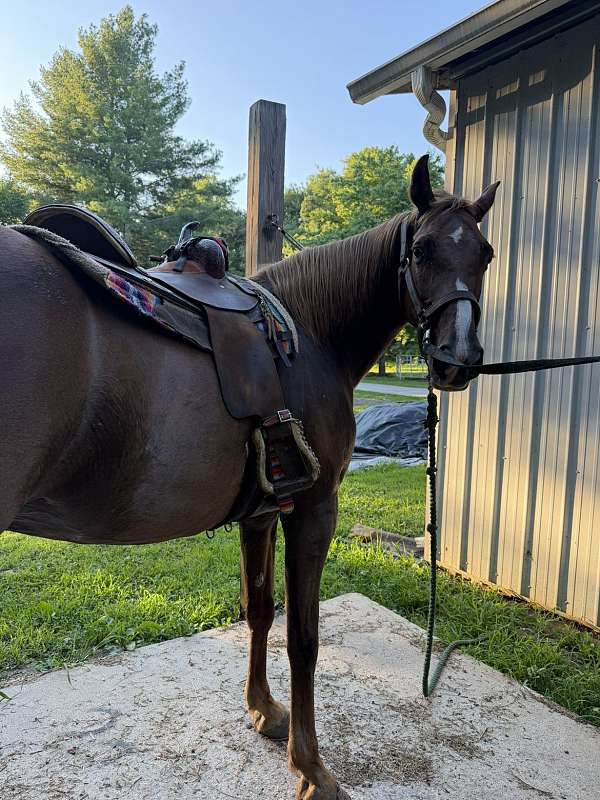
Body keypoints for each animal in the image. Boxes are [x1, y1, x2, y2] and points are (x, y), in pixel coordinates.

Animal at [0, 155, 498, 799]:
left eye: (485, 253)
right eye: (422, 251)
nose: (457, 362)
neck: (309, 333)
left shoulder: (261, 512)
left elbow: (258, 610)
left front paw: (264, 710)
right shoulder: (314, 509)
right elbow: (304, 637)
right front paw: (310, 766)